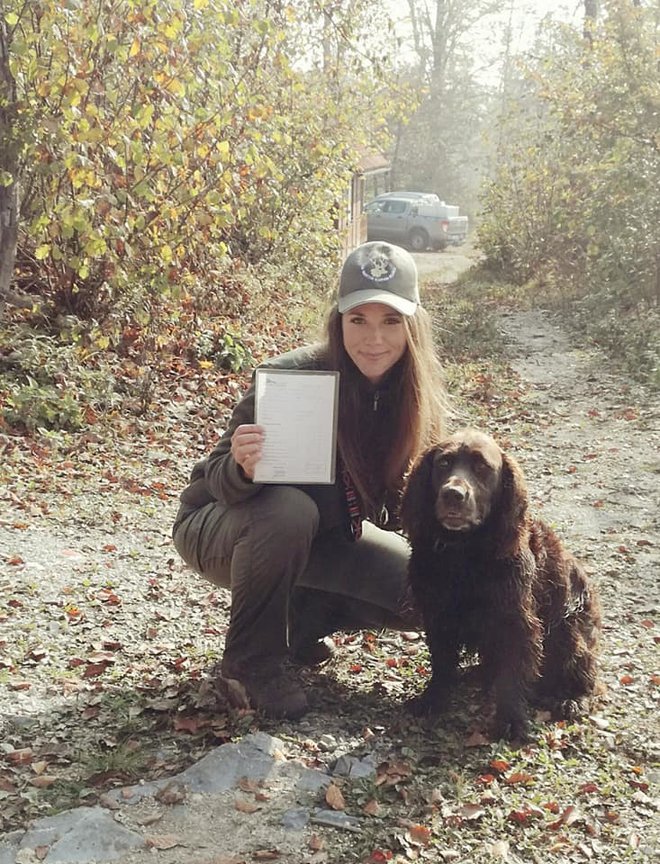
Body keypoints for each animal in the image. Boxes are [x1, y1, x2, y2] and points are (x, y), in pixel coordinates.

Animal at [400, 428, 600, 740]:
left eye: (482, 467)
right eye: (443, 463)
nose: (453, 494)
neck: (463, 553)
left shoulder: (515, 622)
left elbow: (511, 675)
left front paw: (510, 720)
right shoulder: (436, 614)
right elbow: (442, 663)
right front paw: (434, 698)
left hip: (567, 631)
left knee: (587, 674)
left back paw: (573, 699)